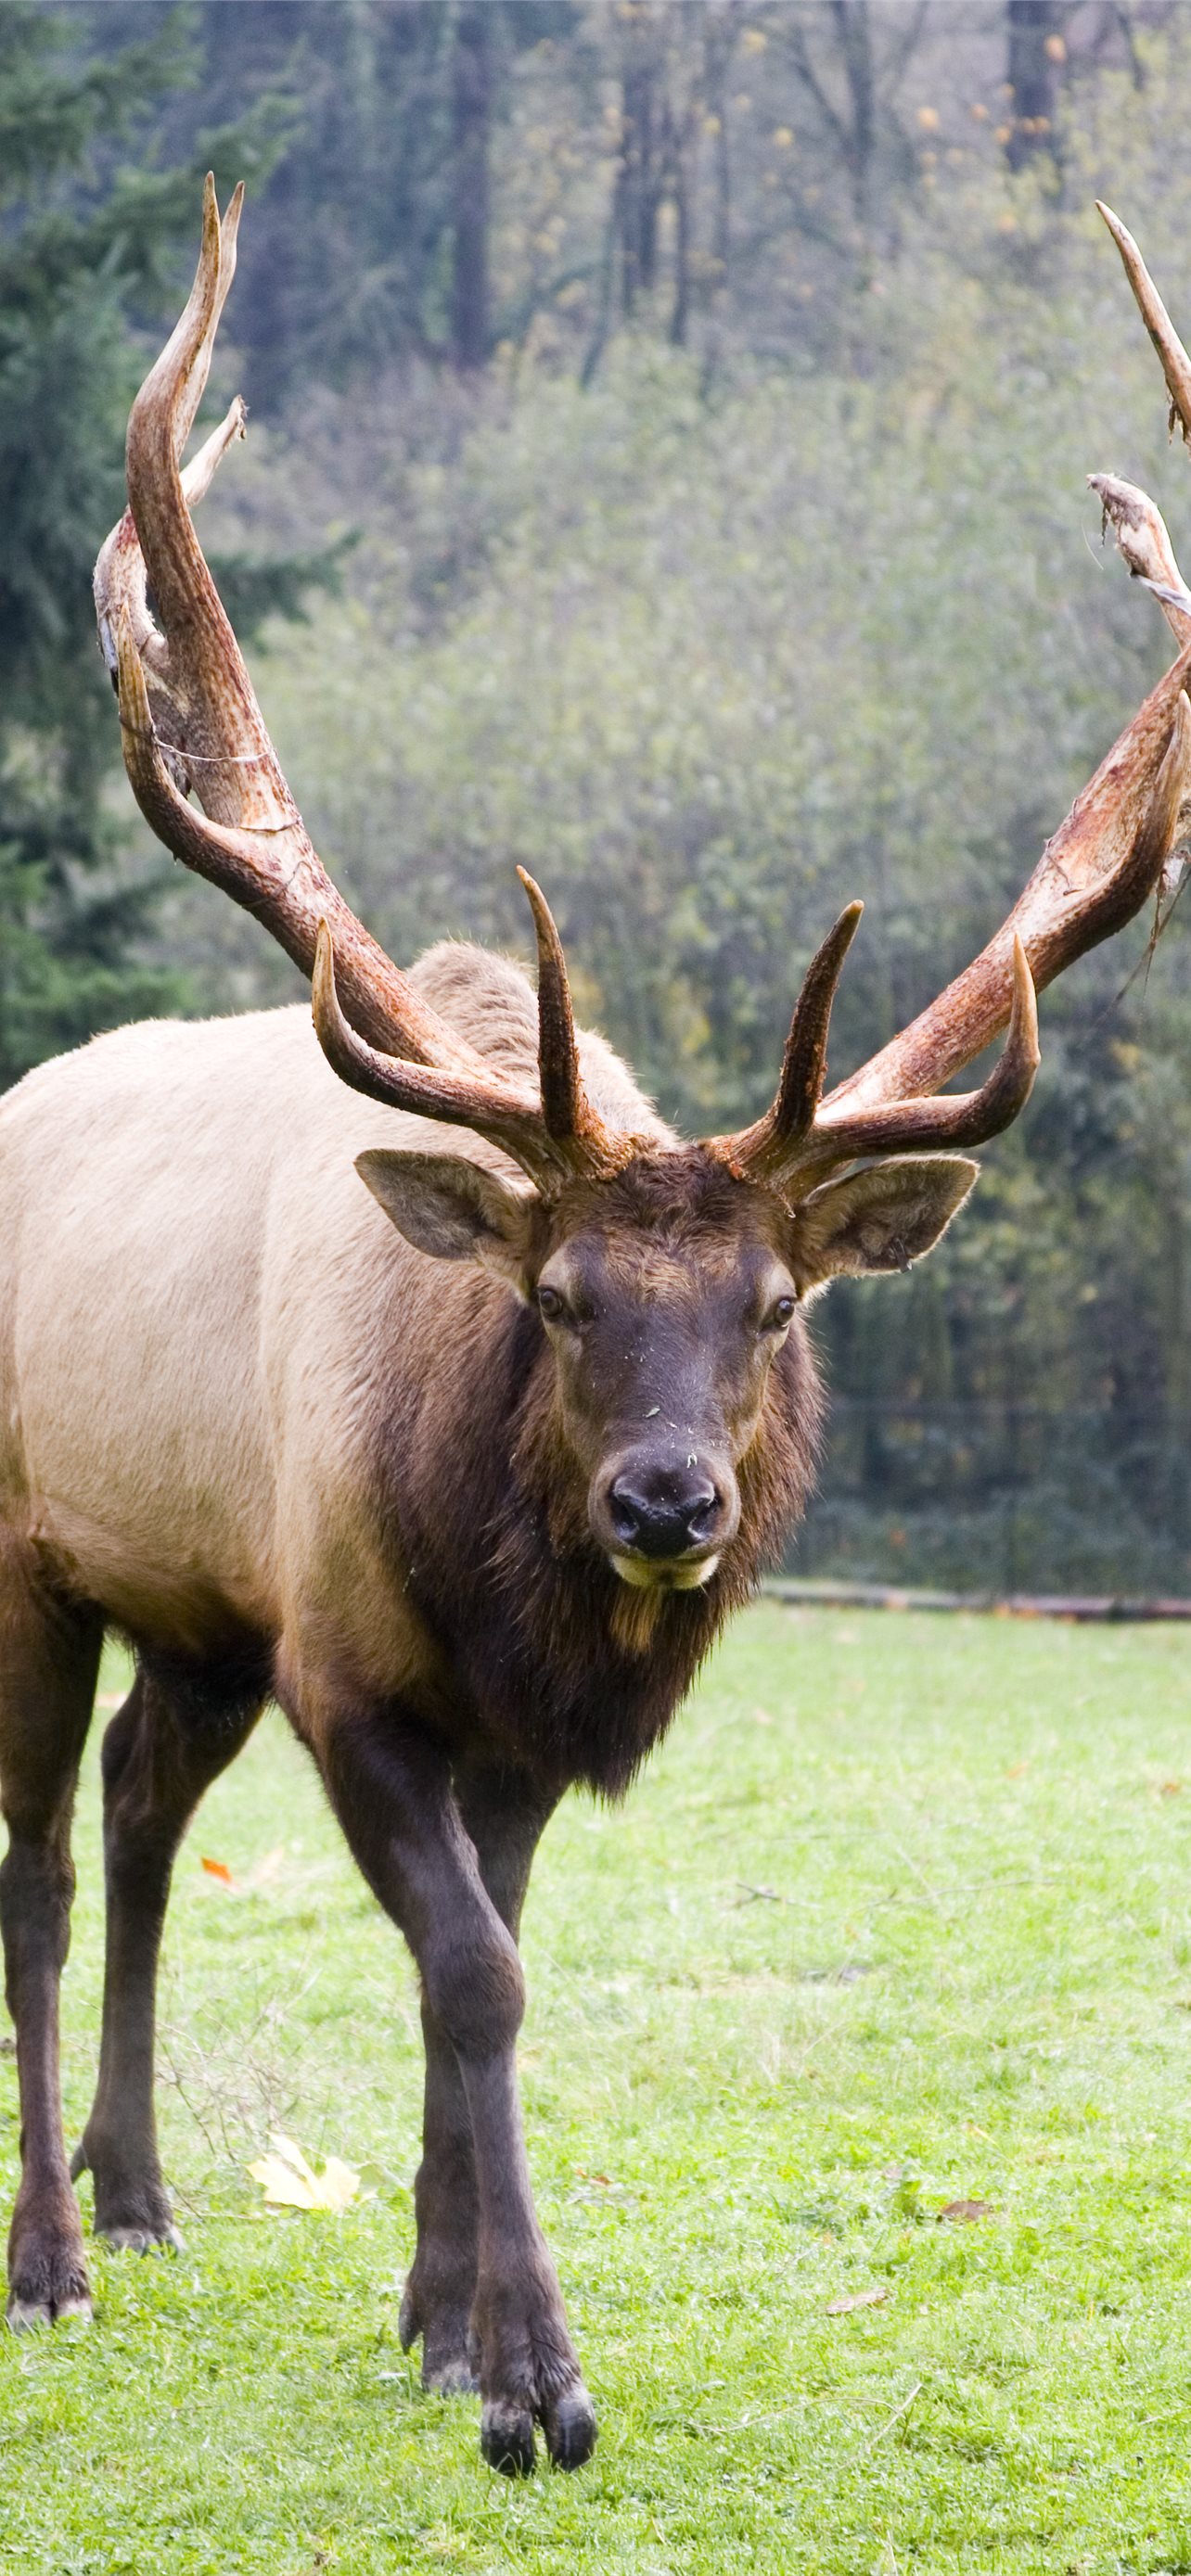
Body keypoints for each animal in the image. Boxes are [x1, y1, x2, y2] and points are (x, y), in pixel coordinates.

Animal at [2, 186, 1191, 2472]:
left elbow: (477, 1959)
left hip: (194, 1602)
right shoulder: (350, 1663)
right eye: (552, 1301)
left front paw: (434, 2316)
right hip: (36, 1555)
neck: (501, 1587)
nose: (664, 1506)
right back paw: (54, 2260)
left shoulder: (493, 1720)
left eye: (777, 1301)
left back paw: (147, 2186)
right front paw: (534, 2380)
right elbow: (476, 1975)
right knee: (30, 1865)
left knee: (135, 1805)